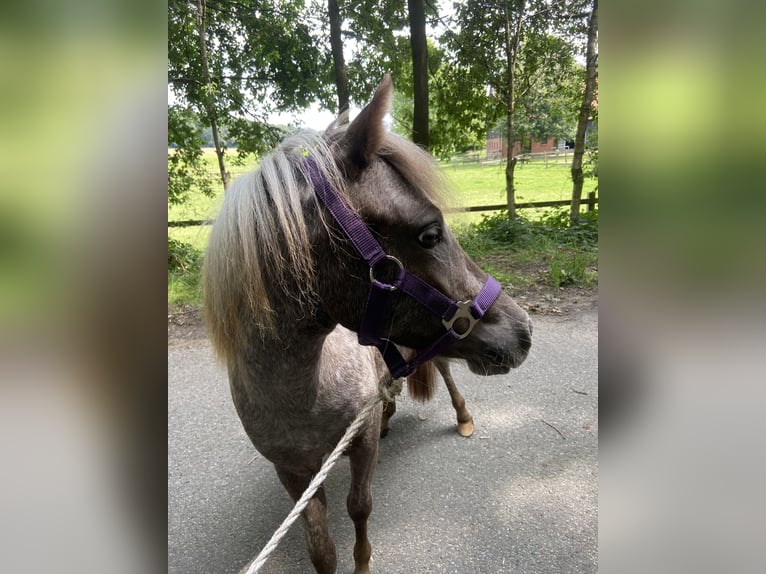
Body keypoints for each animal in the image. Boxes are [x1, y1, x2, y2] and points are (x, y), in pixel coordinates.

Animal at [201, 74, 532, 572]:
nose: (524, 330)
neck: (302, 389)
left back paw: (463, 417)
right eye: (430, 234)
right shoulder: (294, 472)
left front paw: (363, 562)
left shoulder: (361, 442)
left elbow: (360, 505)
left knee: (446, 374)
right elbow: (320, 547)